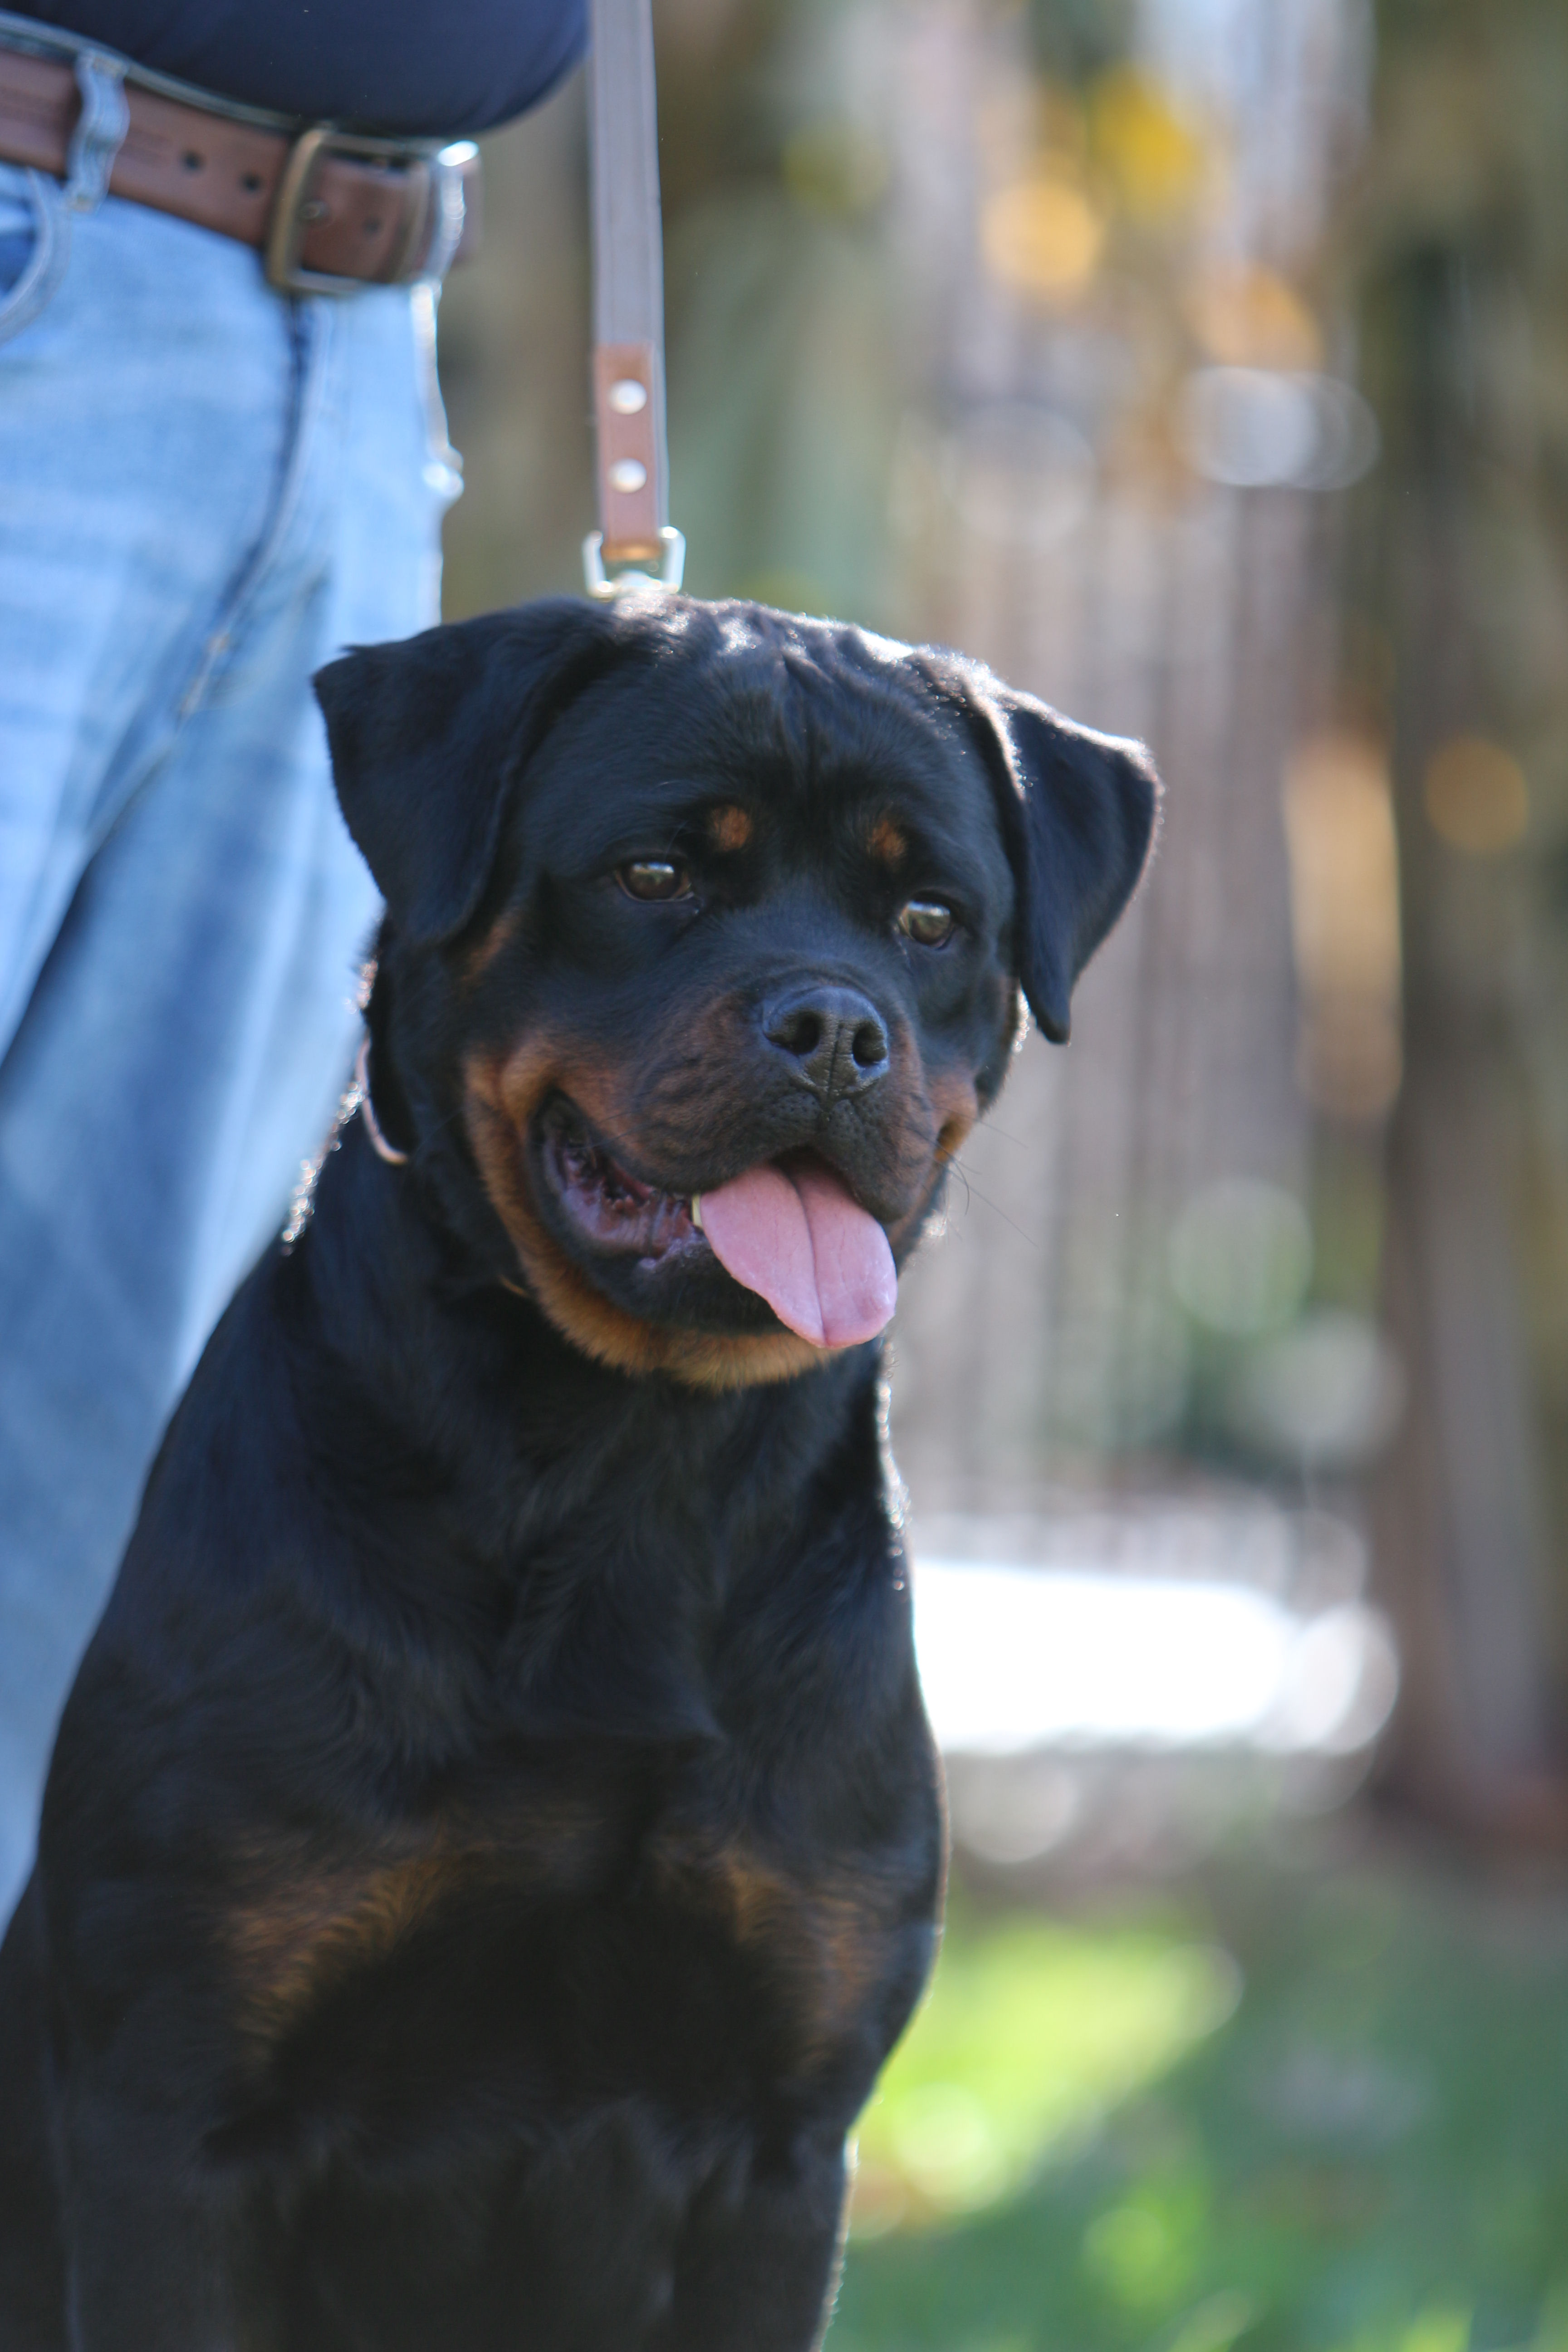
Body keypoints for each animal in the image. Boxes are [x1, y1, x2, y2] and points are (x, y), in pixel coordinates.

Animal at [0, 597, 1152, 2342]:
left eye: (930, 915)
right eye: (656, 874)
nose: (834, 1027)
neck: (629, 1465)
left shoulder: (781, 2142)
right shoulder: (170, 2117)